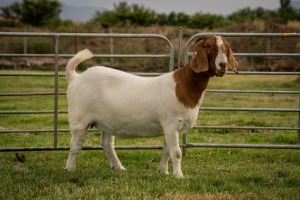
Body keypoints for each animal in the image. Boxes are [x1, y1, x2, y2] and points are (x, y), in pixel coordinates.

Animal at [64, 34, 238, 178]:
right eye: (207, 46)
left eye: (226, 47)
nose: (223, 65)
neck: (185, 85)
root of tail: (75, 77)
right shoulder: (171, 124)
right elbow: (176, 153)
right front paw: (179, 176)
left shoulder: (169, 127)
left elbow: (167, 150)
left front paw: (163, 171)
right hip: (79, 118)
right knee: (75, 145)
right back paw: (70, 169)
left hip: (107, 121)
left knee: (107, 144)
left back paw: (119, 167)